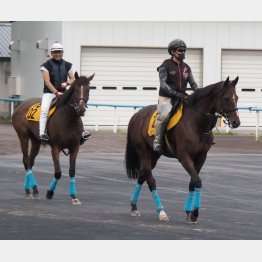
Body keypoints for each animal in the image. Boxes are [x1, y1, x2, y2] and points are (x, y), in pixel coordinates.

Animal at [12, 71, 94, 205]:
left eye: (88, 89)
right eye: (76, 89)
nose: (81, 109)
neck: (68, 118)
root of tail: (20, 105)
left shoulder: (75, 147)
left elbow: (72, 171)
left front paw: (74, 196)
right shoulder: (55, 147)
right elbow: (58, 173)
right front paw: (50, 193)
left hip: (36, 141)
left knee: (30, 161)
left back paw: (33, 190)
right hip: (23, 136)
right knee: (26, 161)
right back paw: (30, 191)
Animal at [126, 76, 241, 223]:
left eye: (236, 97)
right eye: (226, 98)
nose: (236, 122)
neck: (196, 123)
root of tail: (136, 116)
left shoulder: (201, 157)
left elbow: (192, 182)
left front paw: (189, 212)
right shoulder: (184, 157)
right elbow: (197, 181)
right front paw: (194, 213)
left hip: (154, 155)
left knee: (143, 175)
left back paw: (134, 206)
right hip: (143, 151)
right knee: (150, 179)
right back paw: (161, 212)